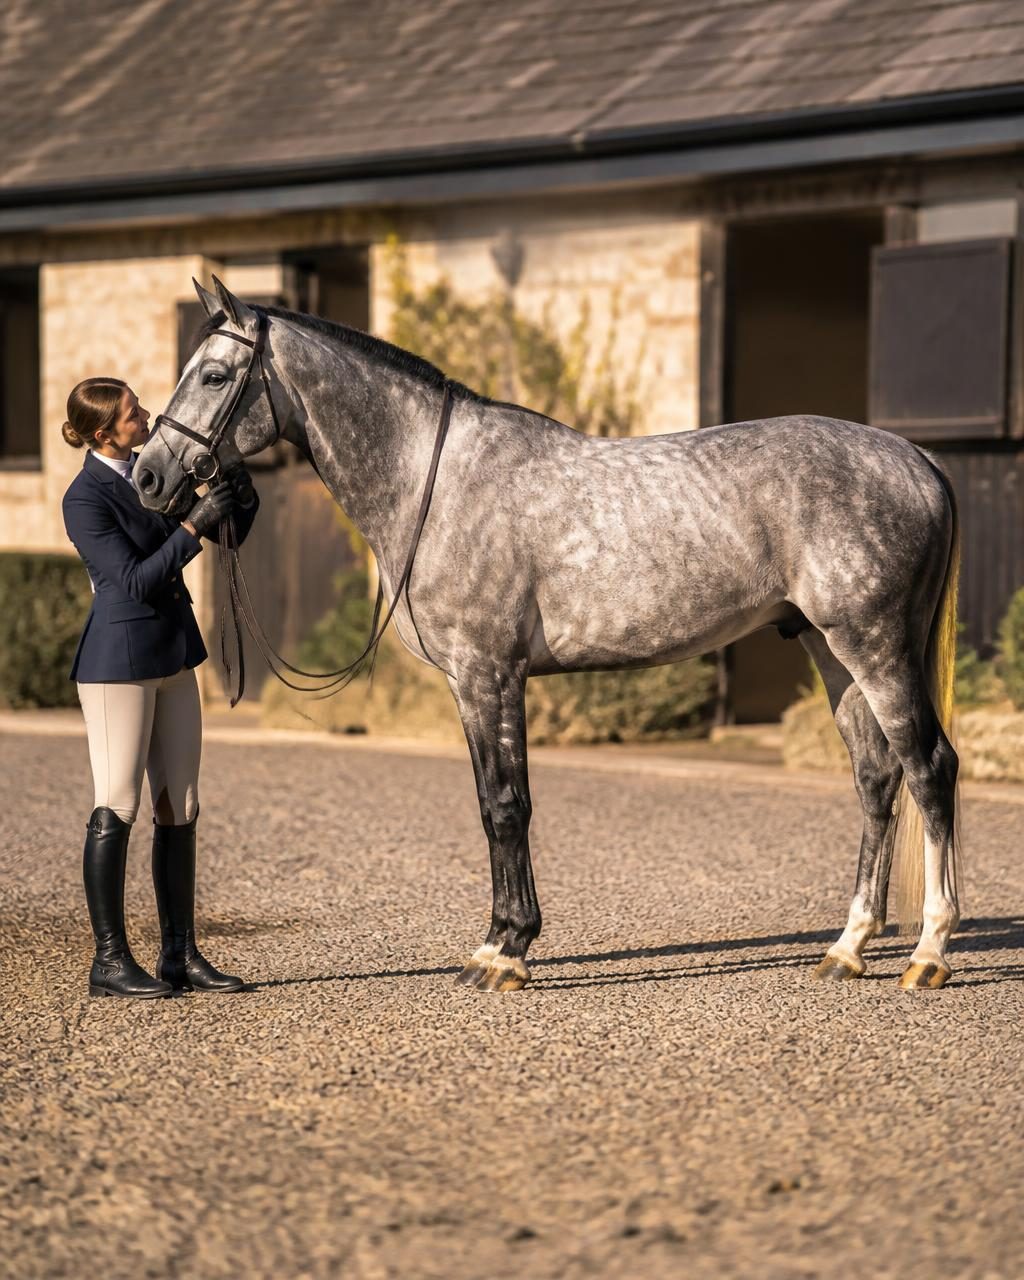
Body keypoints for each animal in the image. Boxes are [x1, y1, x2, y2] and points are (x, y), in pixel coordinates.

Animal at [135, 276, 962, 994]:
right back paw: (847, 948)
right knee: (876, 778)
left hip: (874, 645)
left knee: (928, 768)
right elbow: (493, 802)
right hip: (831, 649)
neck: (437, 481)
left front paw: (506, 953)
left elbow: (506, 805)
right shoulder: (474, 681)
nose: (148, 476)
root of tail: (917, 459)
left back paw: (928, 952)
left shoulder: (488, 672)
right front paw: (500, 942)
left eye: (213, 374)